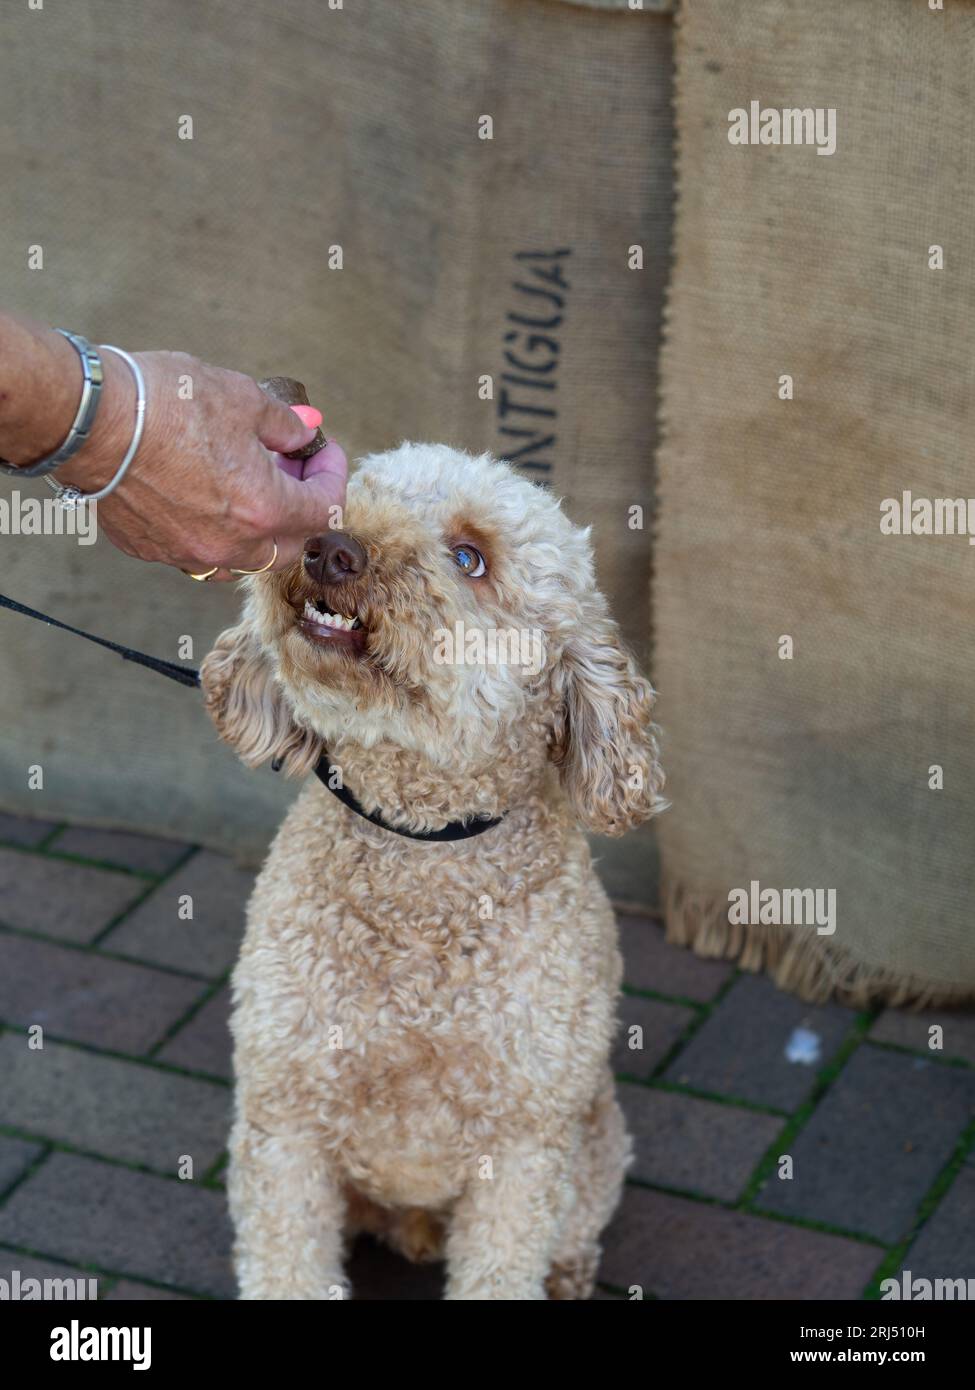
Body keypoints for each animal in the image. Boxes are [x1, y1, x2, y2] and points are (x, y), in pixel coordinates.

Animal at [201, 439, 664, 1295]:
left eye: (469, 557)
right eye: (342, 502)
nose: (331, 550)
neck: (420, 856)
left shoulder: (523, 1144)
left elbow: (502, 1266)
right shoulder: (284, 1118)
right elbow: (286, 1262)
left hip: (594, 1141)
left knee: (575, 1227)